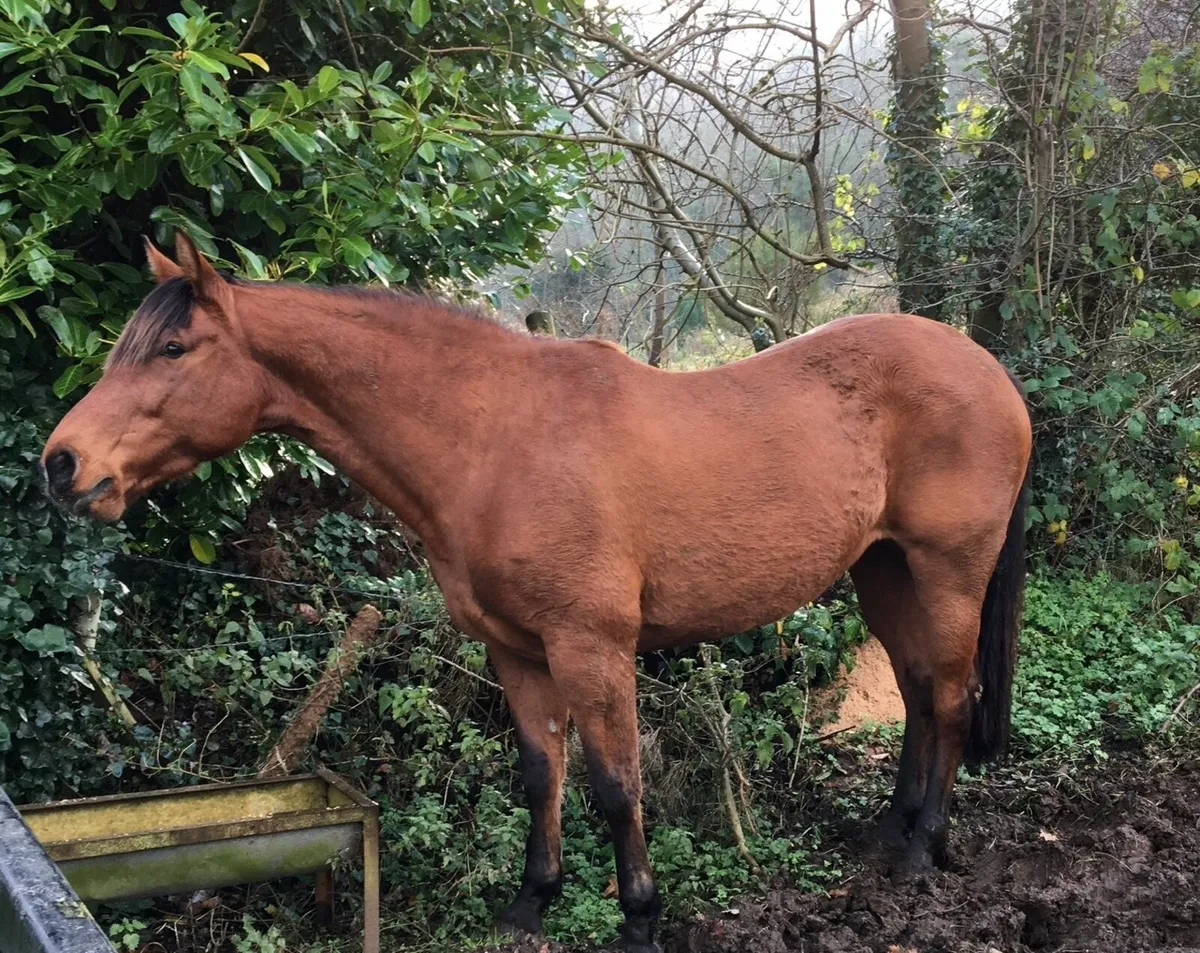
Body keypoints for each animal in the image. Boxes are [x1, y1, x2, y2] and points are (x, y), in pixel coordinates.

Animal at [42, 232, 1032, 953]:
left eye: (174, 347)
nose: (62, 464)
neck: (495, 439)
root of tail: (992, 371)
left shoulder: (591, 646)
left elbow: (617, 785)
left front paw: (640, 917)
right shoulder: (515, 649)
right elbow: (538, 772)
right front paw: (533, 901)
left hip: (948, 570)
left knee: (950, 694)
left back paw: (923, 849)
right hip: (882, 568)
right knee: (914, 690)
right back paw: (892, 828)